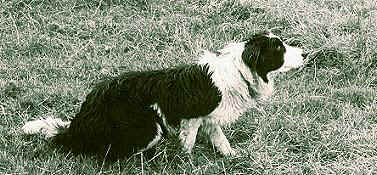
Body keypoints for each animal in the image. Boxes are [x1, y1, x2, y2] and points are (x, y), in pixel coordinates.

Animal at [22, 31, 304, 159]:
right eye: (279, 49)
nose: (306, 53)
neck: (240, 70)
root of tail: (79, 122)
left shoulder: (210, 119)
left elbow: (222, 141)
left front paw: (232, 157)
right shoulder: (193, 117)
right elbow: (188, 143)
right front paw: (186, 162)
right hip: (150, 128)